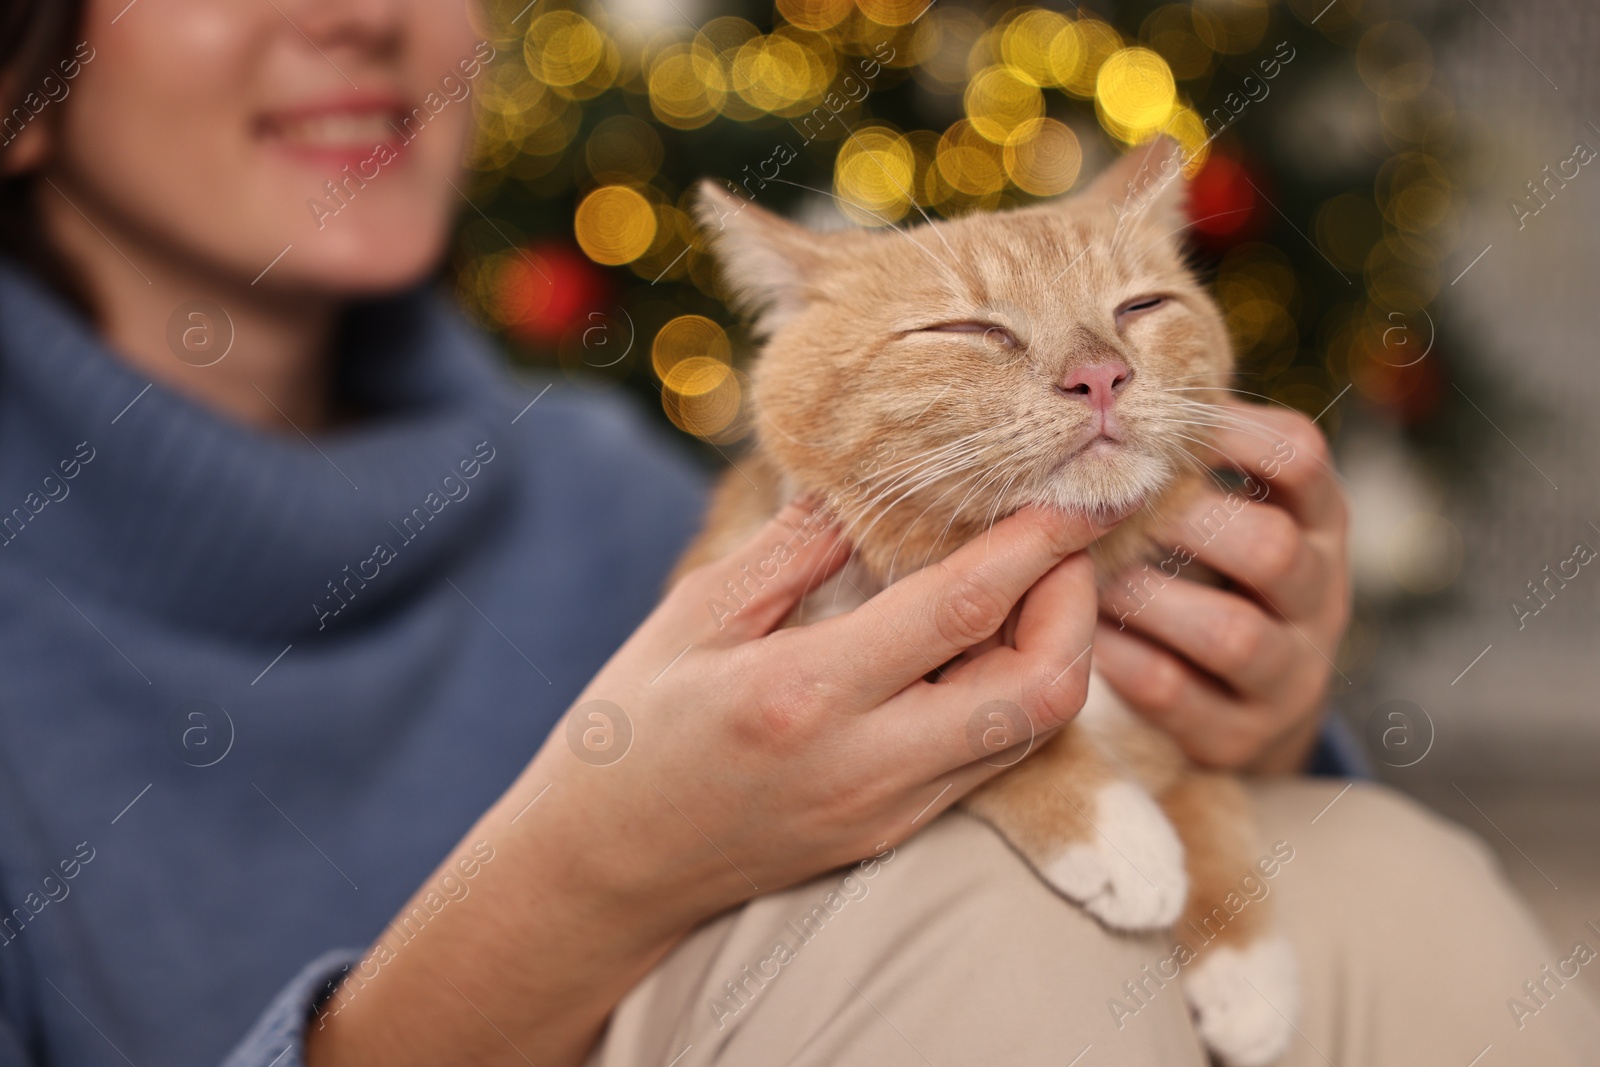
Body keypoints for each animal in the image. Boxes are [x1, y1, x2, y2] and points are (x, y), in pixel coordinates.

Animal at [675, 141, 1299, 1067]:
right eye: (972, 331)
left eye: (1142, 306)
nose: (1101, 375)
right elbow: (995, 731)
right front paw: (1110, 825)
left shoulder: (1175, 720)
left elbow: (1212, 802)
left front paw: (1243, 961)